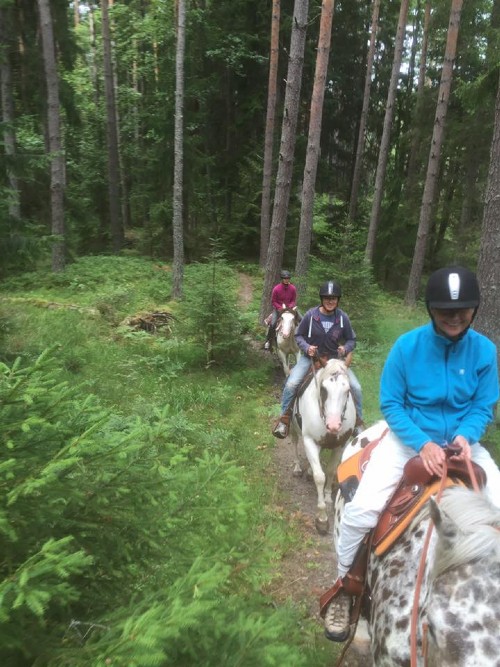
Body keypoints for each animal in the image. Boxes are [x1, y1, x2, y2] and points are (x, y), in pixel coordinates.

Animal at [292, 358, 358, 536]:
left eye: (347, 390)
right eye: (323, 388)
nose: (334, 425)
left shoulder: (340, 445)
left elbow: (331, 470)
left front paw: (328, 496)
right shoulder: (309, 440)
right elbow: (320, 477)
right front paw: (321, 519)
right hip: (293, 429)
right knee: (294, 442)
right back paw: (297, 468)